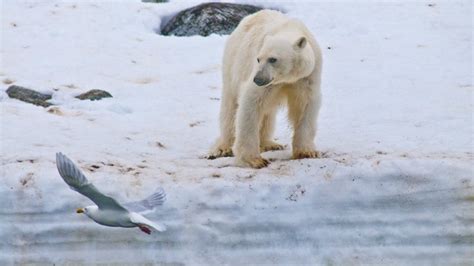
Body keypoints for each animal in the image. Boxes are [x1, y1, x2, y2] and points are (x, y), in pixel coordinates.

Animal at [208, 9, 322, 168]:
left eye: (273, 59)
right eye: (258, 59)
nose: (258, 79)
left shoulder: (307, 76)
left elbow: (305, 106)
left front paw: (307, 152)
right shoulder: (265, 80)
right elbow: (251, 101)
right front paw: (254, 160)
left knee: (267, 112)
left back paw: (269, 144)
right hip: (233, 62)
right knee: (230, 107)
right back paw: (223, 147)